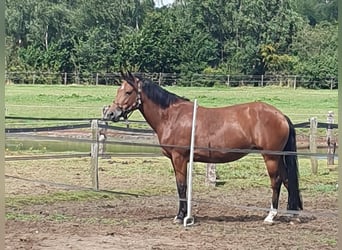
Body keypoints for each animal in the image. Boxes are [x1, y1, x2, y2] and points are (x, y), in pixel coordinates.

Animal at [104, 71, 302, 224]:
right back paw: (292, 215)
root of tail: (281, 115)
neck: (171, 116)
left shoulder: (179, 158)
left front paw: (180, 216)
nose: (110, 113)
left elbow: (181, 186)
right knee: (287, 181)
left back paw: (270, 216)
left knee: (276, 182)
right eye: (118, 90)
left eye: (128, 91)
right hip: (278, 158)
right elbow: (183, 186)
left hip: (271, 157)